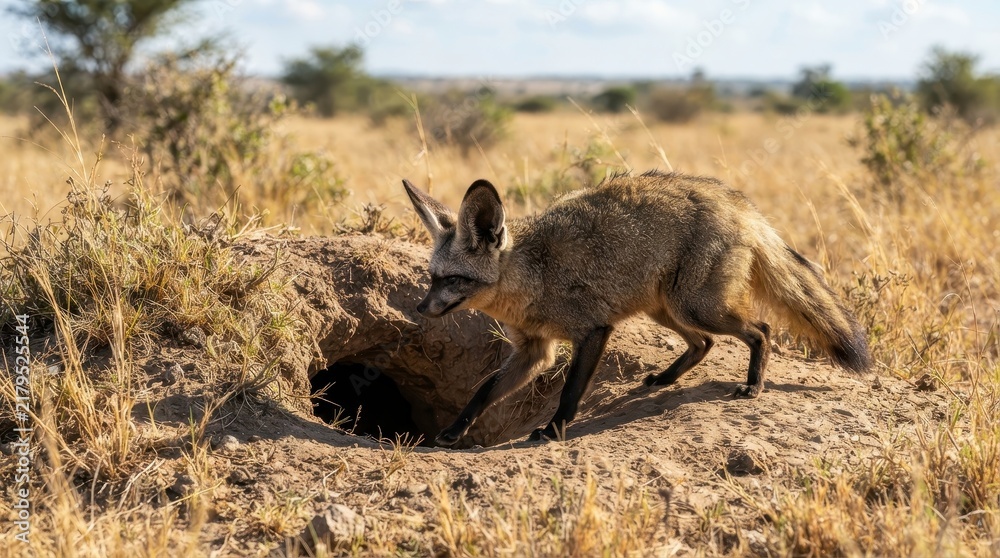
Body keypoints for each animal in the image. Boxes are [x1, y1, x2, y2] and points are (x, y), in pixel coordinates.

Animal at [402, 171, 871, 446]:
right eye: (432, 277)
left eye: (453, 280)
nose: (421, 308)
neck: (534, 275)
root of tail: (739, 204)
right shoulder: (534, 351)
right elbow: (483, 391)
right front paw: (454, 429)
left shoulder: (592, 330)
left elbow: (570, 391)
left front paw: (553, 430)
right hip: (666, 310)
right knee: (704, 344)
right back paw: (664, 378)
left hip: (694, 305)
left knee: (760, 330)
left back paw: (753, 385)